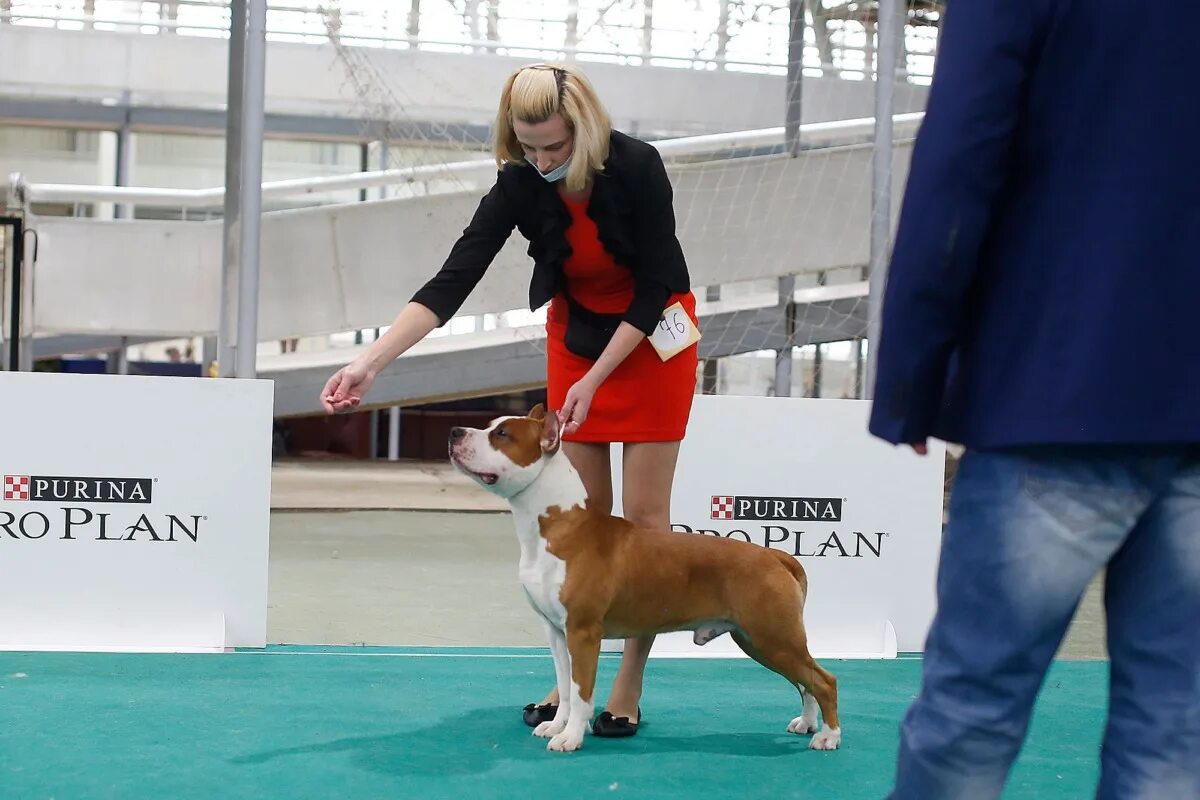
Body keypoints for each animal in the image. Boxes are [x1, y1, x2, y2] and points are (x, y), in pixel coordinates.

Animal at [446, 402, 840, 753]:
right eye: (490, 426)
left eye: (502, 434)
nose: (454, 431)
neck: (558, 524)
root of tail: (775, 556)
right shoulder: (556, 631)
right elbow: (566, 687)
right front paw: (556, 725)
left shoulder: (583, 632)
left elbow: (581, 690)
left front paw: (570, 738)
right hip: (758, 640)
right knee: (804, 681)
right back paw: (807, 723)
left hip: (773, 636)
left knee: (823, 680)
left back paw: (829, 737)